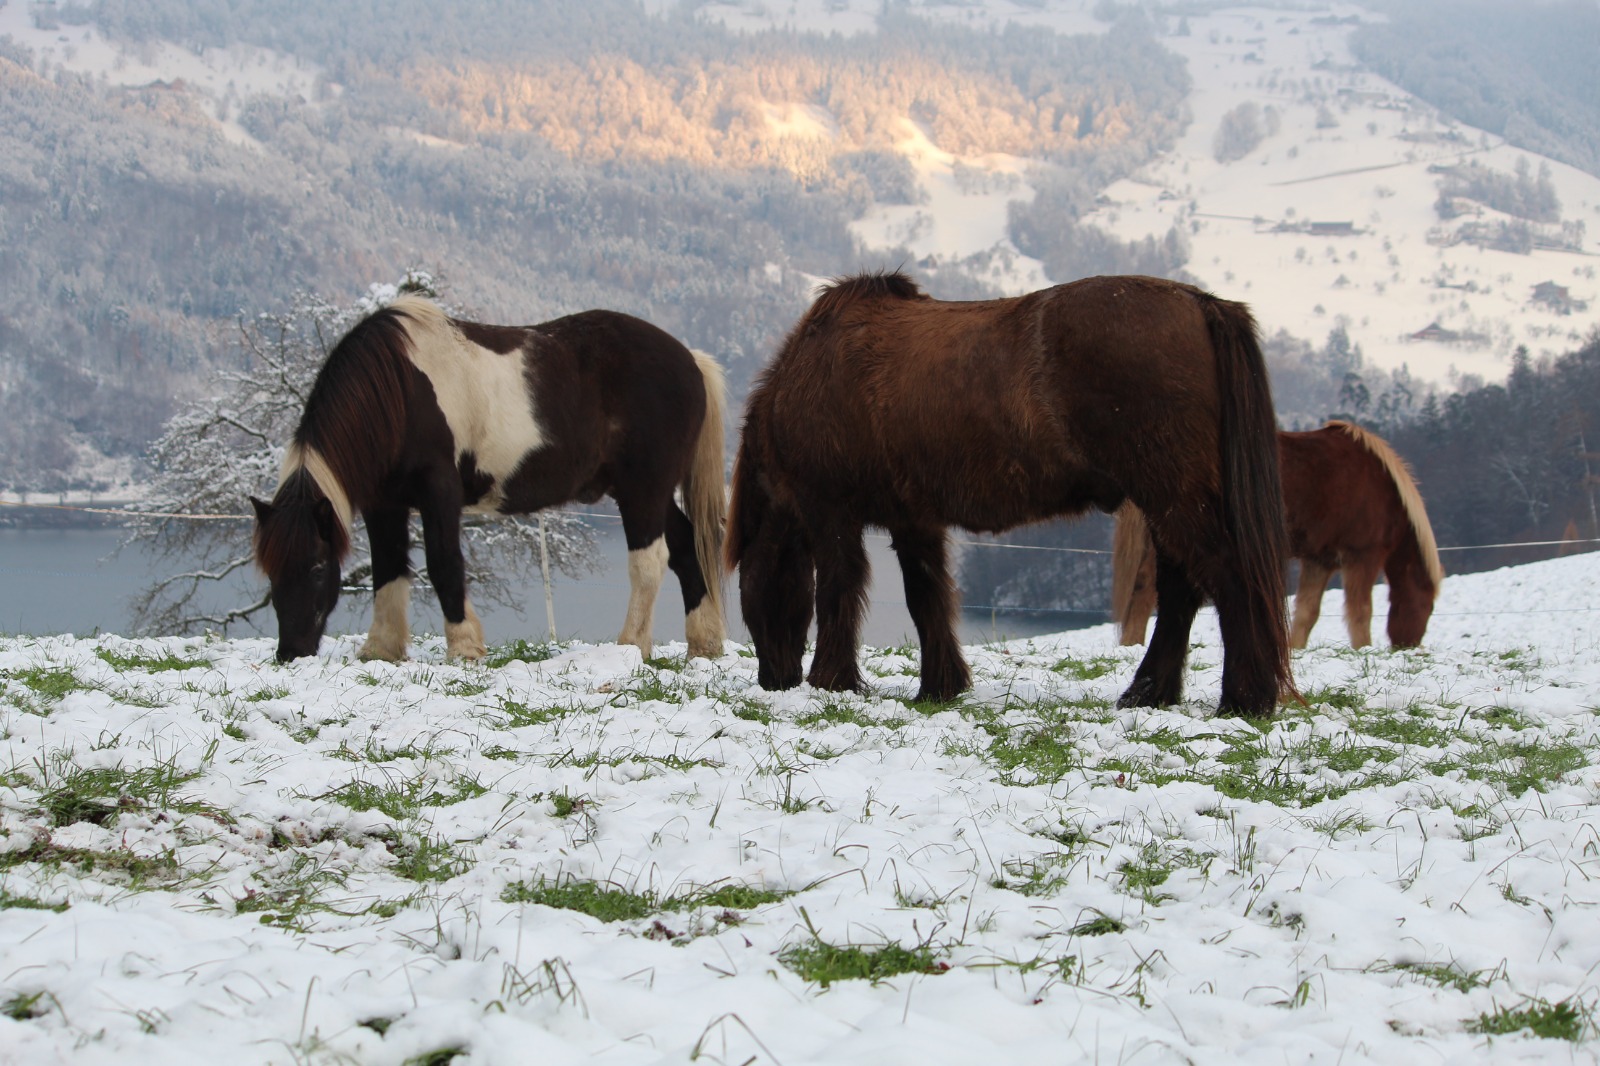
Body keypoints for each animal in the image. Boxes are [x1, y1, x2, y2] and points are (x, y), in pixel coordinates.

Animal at [250, 294, 728, 664]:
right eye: (270, 569)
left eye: (317, 567)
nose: (291, 652)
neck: (401, 390)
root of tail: (690, 359)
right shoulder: (384, 504)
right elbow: (388, 569)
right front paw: (381, 650)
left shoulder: (438, 492)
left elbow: (444, 563)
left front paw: (464, 648)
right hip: (648, 493)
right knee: (686, 549)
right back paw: (703, 646)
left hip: (642, 490)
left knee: (649, 562)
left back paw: (630, 647)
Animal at [726, 271, 1293, 718]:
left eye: (750, 585)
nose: (773, 680)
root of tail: (1200, 302)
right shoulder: (915, 521)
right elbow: (926, 596)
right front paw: (940, 686)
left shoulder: (831, 515)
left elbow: (838, 591)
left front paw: (832, 680)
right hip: (1167, 501)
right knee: (1180, 591)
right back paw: (1148, 693)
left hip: (1173, 496)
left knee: (1227, 579)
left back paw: (1243, 698)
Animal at [1113, 420, 1444, 650]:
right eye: (1427, 608)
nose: (1408, 646)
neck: (1385, 490)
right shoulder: (1362, 557)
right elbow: (1360, 610)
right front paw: (1363, 648)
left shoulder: (1319, 560)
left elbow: (1307, 612)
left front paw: (1295, 649)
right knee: (1146, 592)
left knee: (1140, 588)